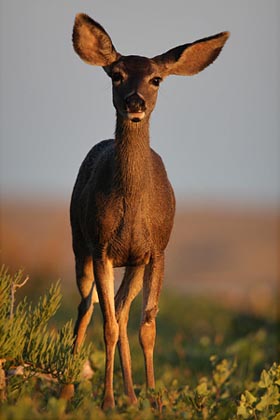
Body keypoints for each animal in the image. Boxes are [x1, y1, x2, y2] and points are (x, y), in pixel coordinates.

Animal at [63, 13, 230, 410]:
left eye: (156, 79)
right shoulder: (102, 248)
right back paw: (68, 390)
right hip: (80, 244)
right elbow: (106, 324)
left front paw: (153, 400)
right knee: (86, 308)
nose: (135, 102)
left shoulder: (156, 249)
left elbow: (147, 327)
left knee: (122, 311)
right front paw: (107, 401)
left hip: (133, 263)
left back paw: (132, 395)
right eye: (116, 74)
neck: (133, 206)